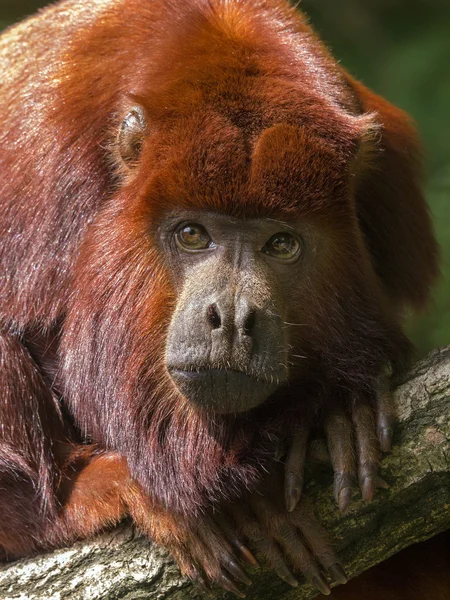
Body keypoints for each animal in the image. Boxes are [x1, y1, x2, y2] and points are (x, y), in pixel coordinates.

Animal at [0, 0, 440, 596]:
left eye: (282, 244)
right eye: (192, 235)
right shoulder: (45, 171)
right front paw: (252, 501)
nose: (231, 318)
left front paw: (338, 405)